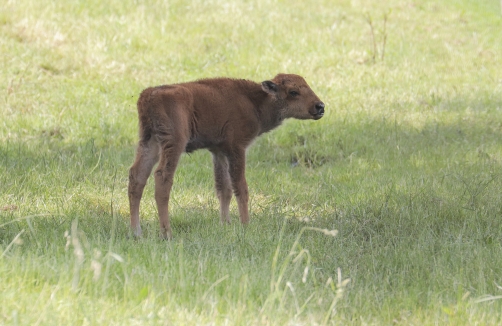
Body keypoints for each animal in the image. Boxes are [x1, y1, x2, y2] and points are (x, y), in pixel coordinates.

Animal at [128, 73, 326, 237]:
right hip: (174, 143)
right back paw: (167, 233)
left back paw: (137, 232)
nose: (320, 107)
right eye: (293, 91)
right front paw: (246, 224)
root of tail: (150, 95)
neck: (254, 101)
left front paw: (225, 224)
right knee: (162, 177)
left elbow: (224, 188)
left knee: (137, 176)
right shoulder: (237, 148)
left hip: (149, 141)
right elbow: (240, 187)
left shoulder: (219, 152)